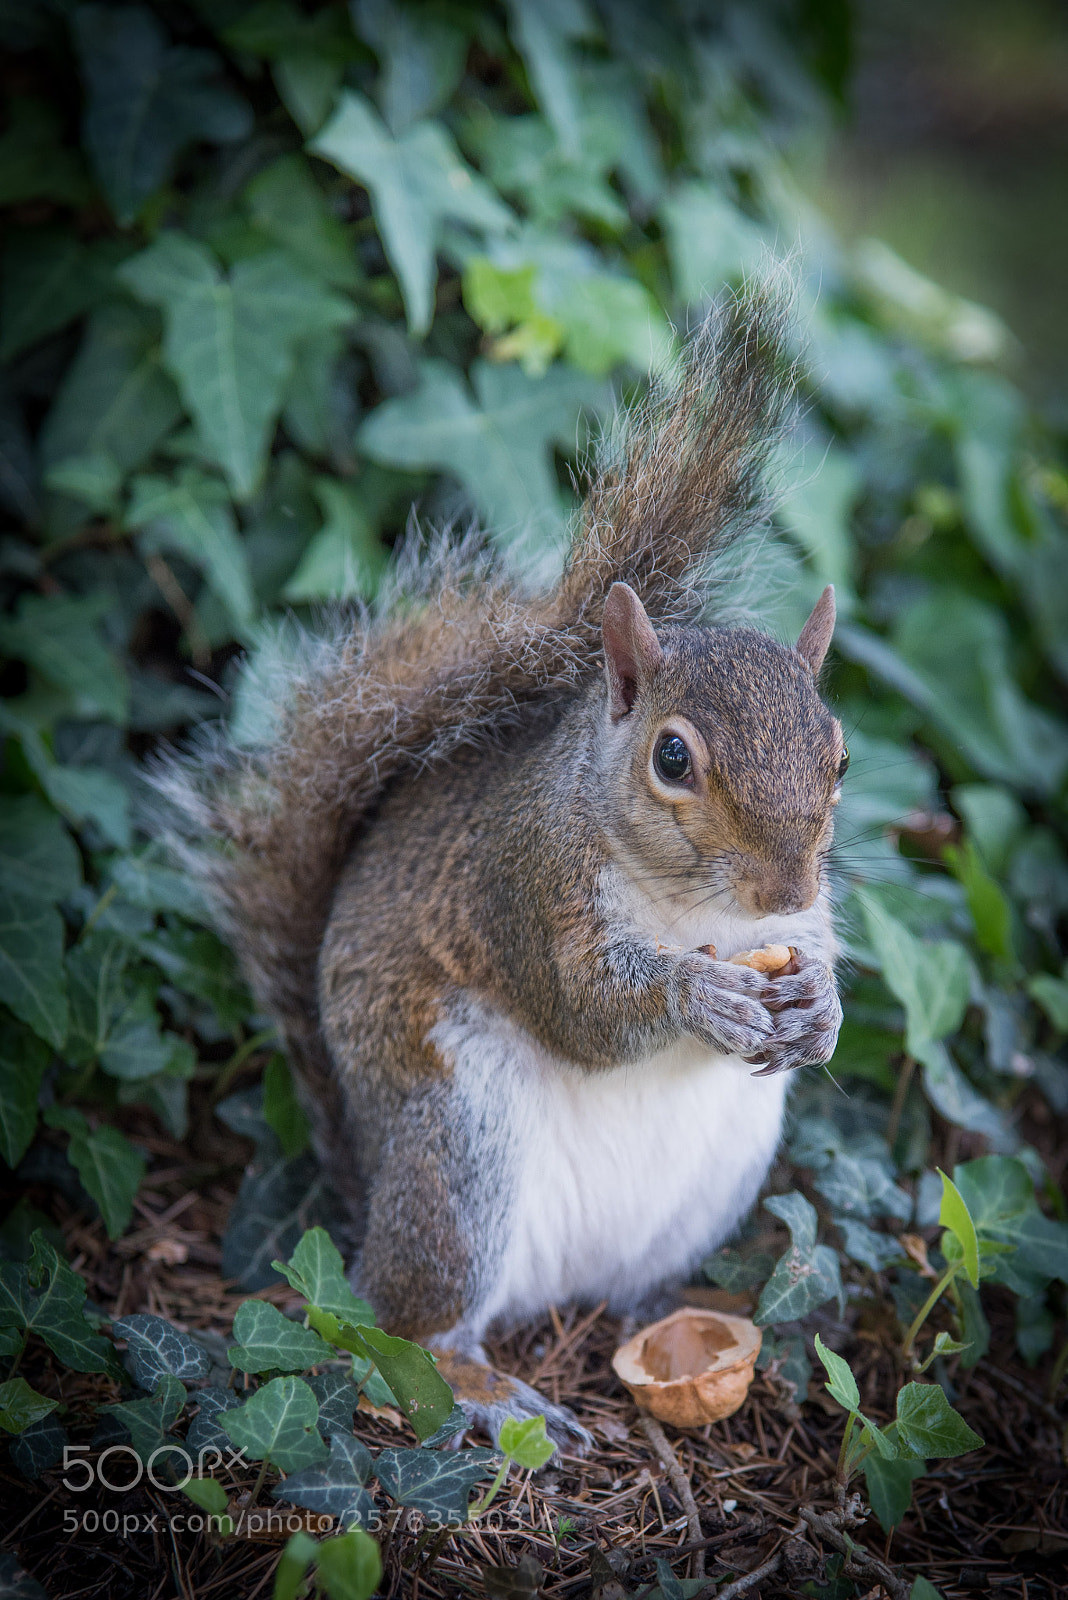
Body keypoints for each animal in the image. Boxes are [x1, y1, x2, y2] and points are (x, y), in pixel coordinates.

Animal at [159, 292, 845, 1452]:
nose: (788, 891)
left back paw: (687, 1312)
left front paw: (823, 1007)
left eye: (840, 757)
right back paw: (478, 1386)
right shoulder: (524, 883)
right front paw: (693, 994)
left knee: (620, 1287)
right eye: (672, 759)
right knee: (394, 1326)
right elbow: (582, 1010)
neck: (688, 902)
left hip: (718, 1178)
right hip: (457, 1146)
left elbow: (812, 966)